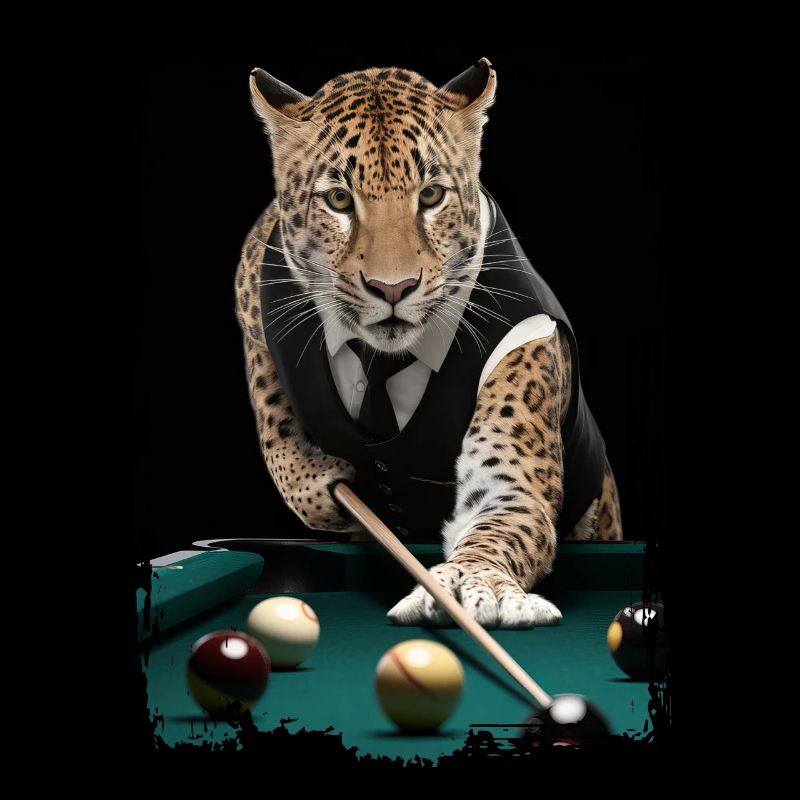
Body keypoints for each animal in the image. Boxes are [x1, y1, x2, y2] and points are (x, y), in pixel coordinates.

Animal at [235, 58, 622, 630]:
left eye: (432, 196)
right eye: (339, 200)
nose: (393, 288)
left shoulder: (522, 353)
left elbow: (502, 510)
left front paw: (470, 579)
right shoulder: (254, 293)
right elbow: (276, 435)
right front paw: (322, 485)